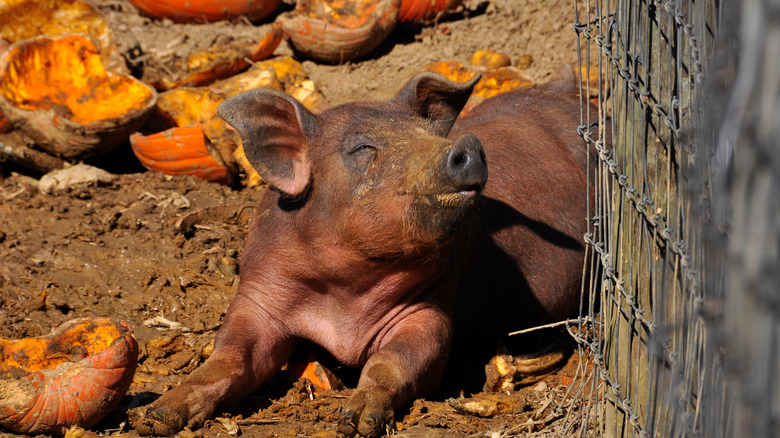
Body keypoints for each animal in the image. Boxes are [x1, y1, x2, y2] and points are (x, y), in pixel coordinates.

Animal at [128, 70, 596, 436]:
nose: (467, 144)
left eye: (429, 135)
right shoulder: (258, 296)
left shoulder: (429, 308)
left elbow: (397, 358)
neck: (343, 292)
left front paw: (355, 422)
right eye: (363, 148)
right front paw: (156, 418)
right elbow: (231, 354)